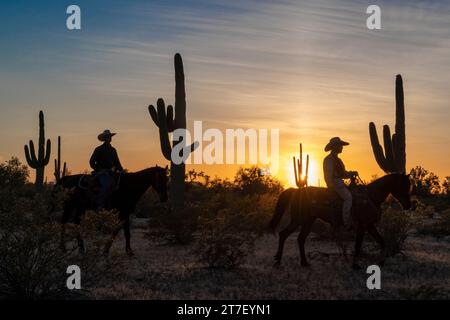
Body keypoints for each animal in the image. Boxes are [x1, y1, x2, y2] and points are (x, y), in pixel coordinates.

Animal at [268, 174, 414, 268]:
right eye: (403, 185)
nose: (408, 205)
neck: (370, 197)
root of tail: (295, 191)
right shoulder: (362, 225)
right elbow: (358, 245)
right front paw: (355, 265)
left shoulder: (370, 225)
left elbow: (382, 241)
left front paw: (381, 262)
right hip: (300, 220)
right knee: (286, 235)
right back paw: (279, 261)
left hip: (306, 221)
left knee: (296, 238)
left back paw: (301, 263)